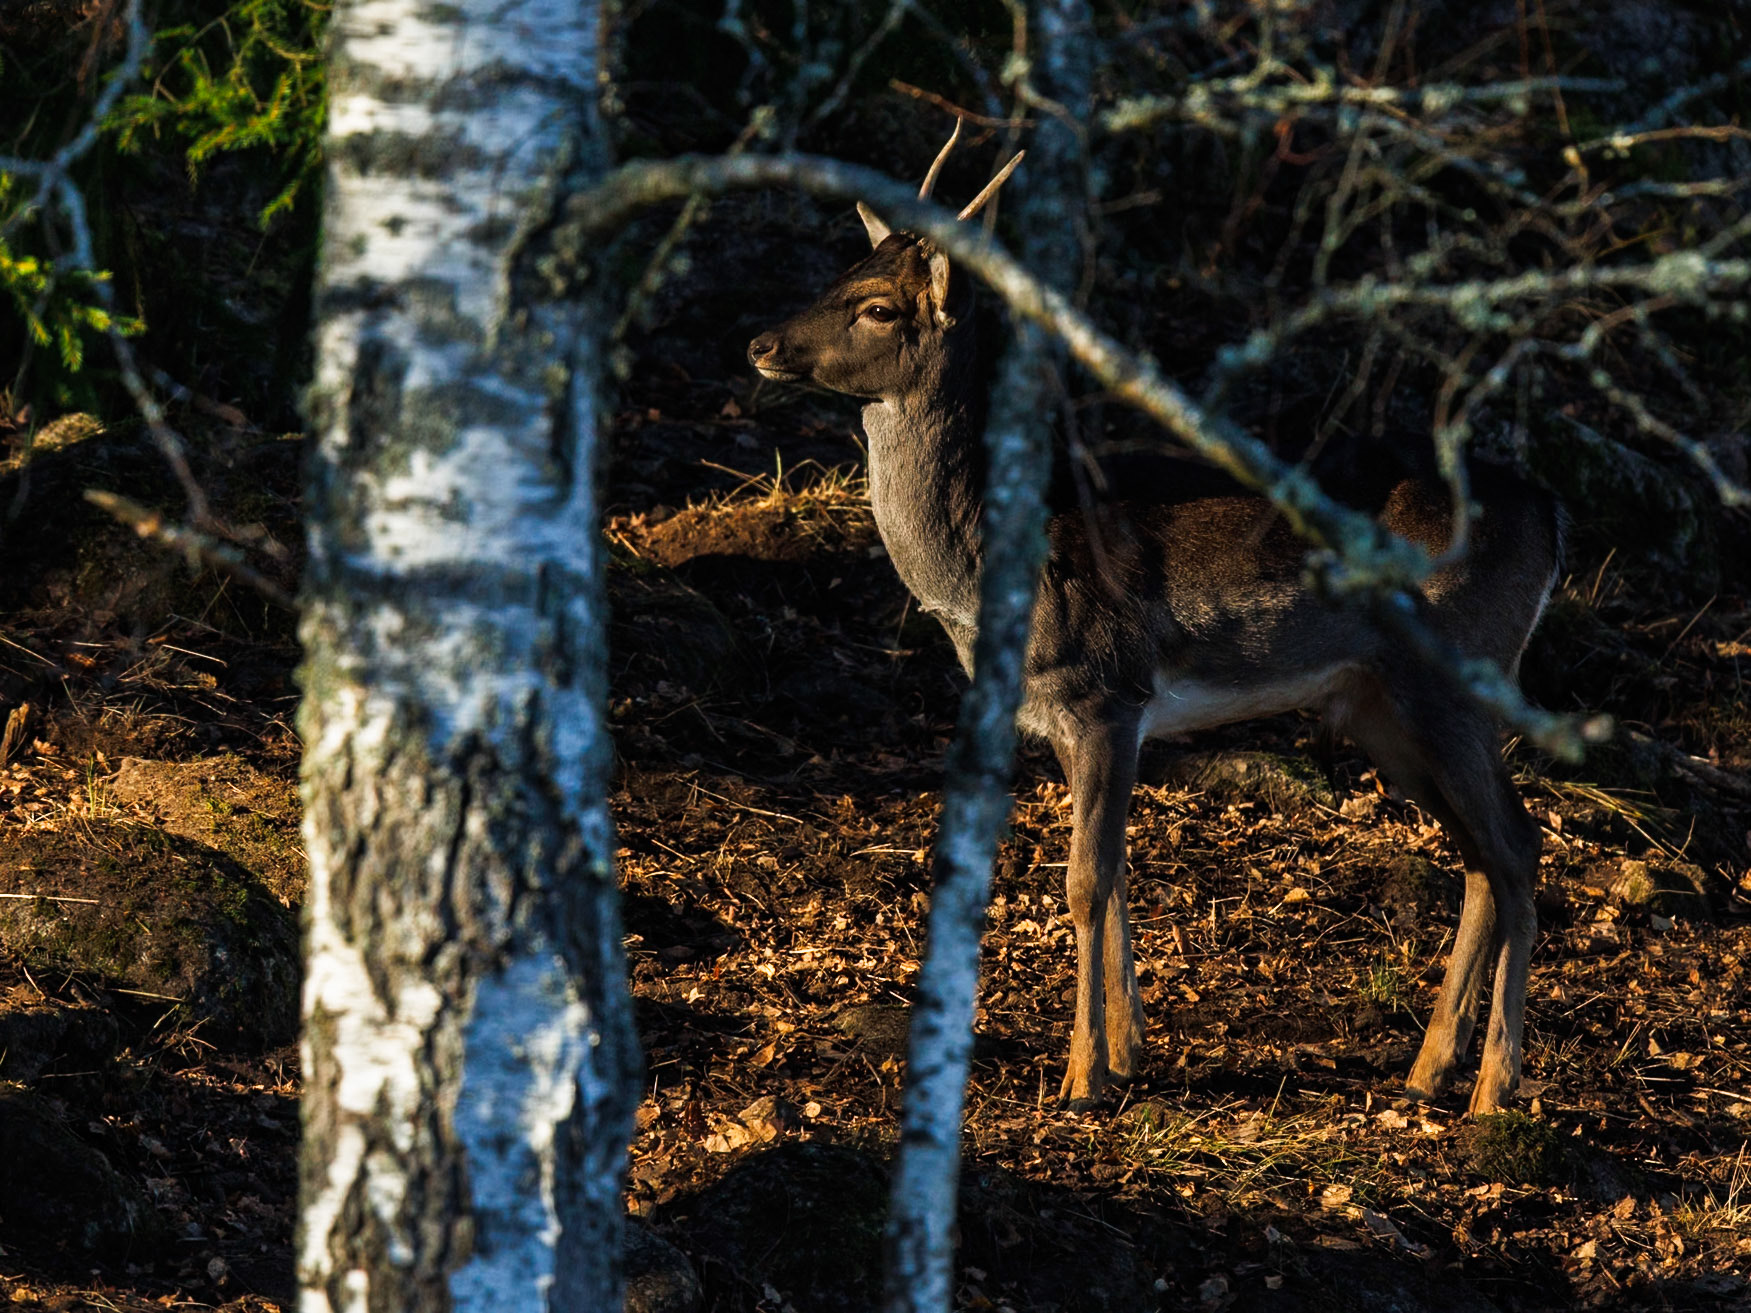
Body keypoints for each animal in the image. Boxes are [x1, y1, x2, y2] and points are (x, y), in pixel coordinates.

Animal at [746, 124, 1560, 1114]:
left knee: (1518, 846)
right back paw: (1427, 1066)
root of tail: (1551, 514)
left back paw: (1492, 1086)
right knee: (1479, 855)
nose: (759, 341)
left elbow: (1084, 881)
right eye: (844, 266)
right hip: (1377, 704)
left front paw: (1080, 1076)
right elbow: (1117, 871)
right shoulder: (1068, 713)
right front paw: (1129, 1051)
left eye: (874, 306)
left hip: (1458, 673)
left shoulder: (1105, 688)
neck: (990, 565)